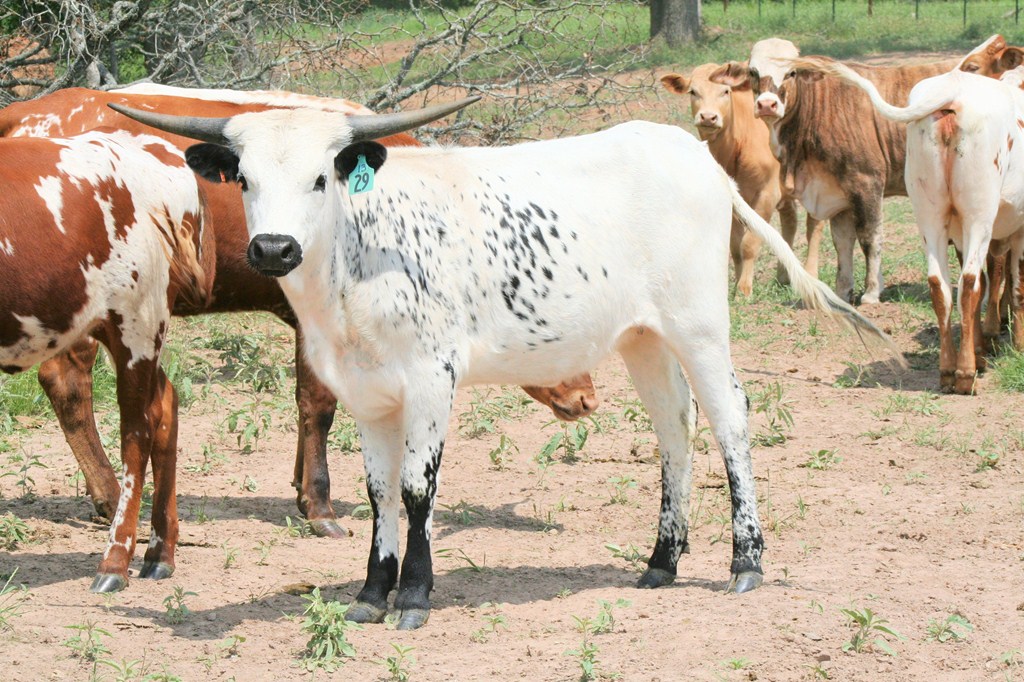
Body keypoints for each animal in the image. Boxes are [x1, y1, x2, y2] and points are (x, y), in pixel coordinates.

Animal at [0, 87, 599, 536]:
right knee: (67, 384)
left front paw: (300, 489)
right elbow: (319, 404)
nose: (587, 398)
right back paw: (108, 496)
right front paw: (320, 505)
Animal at [0, 129, 214, 591]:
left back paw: (115, 561)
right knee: (166, 403)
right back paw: (159, 553)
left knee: (138, 432)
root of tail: (156, 149)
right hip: (118, 327)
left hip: (138, 320)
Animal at [112, 98, 900, 628]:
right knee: (675, 431)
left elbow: (417, 492)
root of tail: (689, 152)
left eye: (319, 179)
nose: (273, 248)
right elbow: (379, 493)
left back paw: (745, 562)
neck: (358, 258)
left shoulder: (431, 379)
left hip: (699, 323)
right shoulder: (368, 393)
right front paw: (370, 593)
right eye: (243, 179)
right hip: (642, 337)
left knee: (731, 419)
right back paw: (661, 562)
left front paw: (415, 597)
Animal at [660, 63, 823, 295]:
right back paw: (784, 276)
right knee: (790, 221)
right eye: (693, 91)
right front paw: (736, 284)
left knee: (814, 227)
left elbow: (749, 243)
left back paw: (811, 274)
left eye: (725, 91)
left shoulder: (766, 194)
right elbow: (735, 245)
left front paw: (745, 288)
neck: (738, 145)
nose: (708, 117)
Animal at [792, 58, 1024, 394]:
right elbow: (1016, 286)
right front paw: (1016, 346)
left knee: (941, 285)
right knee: (969, 284)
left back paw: (949, 370)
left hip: (931, 218)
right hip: (977, 216)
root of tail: (953, 92)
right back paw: (965, 374)